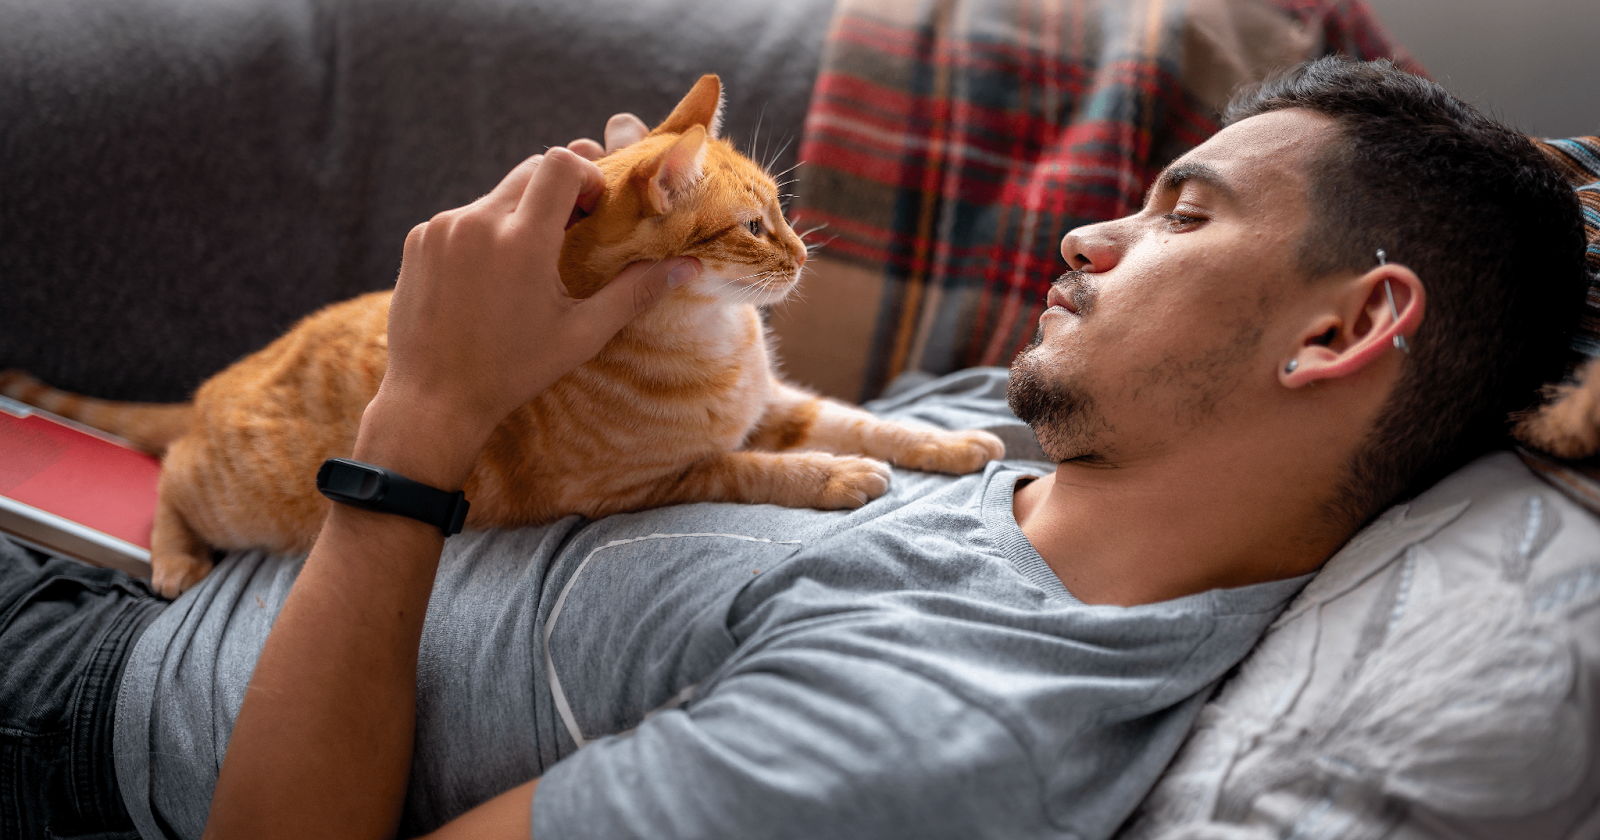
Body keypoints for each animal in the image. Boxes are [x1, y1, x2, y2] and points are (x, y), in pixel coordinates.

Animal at [0, 73, 998, 595]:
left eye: (780, 212)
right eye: (756, 226)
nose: (802, 252)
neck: (719, 340)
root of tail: (216, 386)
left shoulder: (777, 403)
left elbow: (862, 418)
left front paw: (948, 442)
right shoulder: (646, 486)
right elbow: (758, 469)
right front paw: (837, 476)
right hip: (232, 496)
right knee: (168, 473)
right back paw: (173, 558)